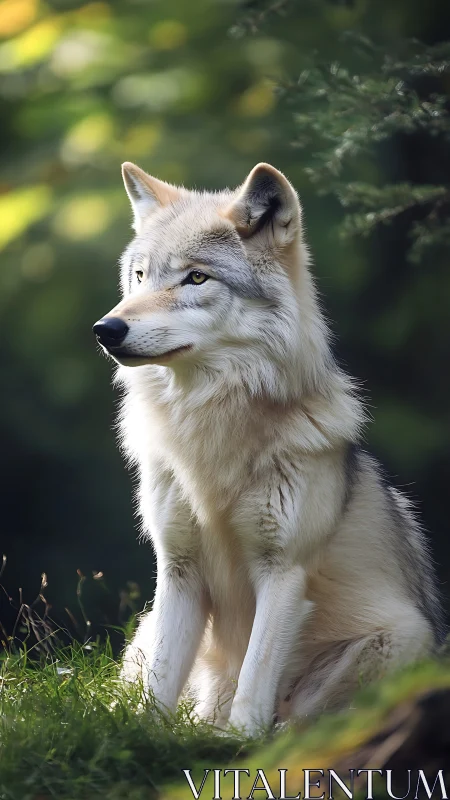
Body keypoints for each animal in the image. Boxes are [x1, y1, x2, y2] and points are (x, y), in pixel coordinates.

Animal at [93, 161, 445, 734]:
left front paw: (239, 742)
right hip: (144, 631)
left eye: (196, 277)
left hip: (402, 638)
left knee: (300, 713)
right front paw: (148, 738)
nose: (106, 328)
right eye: (140, 276)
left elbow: (254, 685)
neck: (208, 428)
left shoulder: (283, 572)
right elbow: (157, 690)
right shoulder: (178, 574)